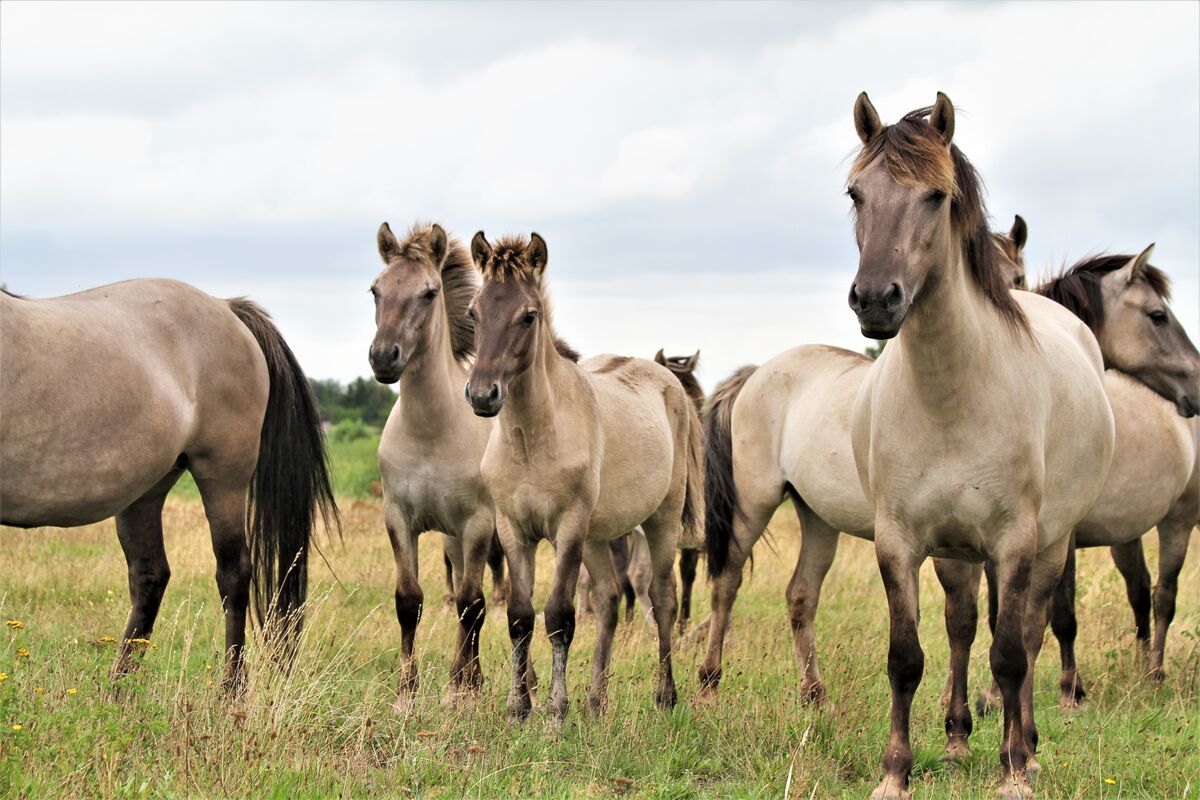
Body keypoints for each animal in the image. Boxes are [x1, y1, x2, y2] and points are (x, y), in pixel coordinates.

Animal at [0, 280, 336, 689]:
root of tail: (226, 308)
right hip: (146, 491)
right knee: (150, 577)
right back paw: (119, 690)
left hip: (223, 478)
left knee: (233, 576)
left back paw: (230, 690)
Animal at [368, 222, 501, 708]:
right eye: (376, 290)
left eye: (428, 293)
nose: (383, 357)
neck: (430, 432)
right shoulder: (399, 519)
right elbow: (410, 601)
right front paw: (406, 694)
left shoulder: (477, 523)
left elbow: (470, 605)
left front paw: (456, 691)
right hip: (452, 540)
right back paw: (473, 677)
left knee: (476, 602)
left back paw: (467, 681)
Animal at [464, 233, 704, 723]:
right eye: (474, 313)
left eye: (528, 315)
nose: (482, 395)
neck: (532, 440)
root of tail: (671, 383)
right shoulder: (513, 530)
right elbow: (520, 616)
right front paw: (519, 706)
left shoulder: (568, 528)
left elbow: (559, 617)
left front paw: (557, 709)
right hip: (598, 535)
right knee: (610, 602)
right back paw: (596, 699)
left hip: (660, 521)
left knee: (663, 598)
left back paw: (665, 696)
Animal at [845, 93, 1113, 799]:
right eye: (856, 193)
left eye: (936, 196)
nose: (876, 299)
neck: (951, 399)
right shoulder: (899, 542)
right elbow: (907, 657)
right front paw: (897, 772)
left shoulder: (1014, 542)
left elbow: (1013, 654)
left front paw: (1015, 771)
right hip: (956, 553)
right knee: (964, 626)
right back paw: (960, 739)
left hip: (1048, 545)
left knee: (1028, 632)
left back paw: (1027, 748)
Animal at [974, 248, 1199, 713]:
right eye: (1158, 315)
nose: (1199, 381)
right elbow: (998, 611)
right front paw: (992, 695)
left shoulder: (1065, 536)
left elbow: (1061, 615)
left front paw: (1070, 690)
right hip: (1127, 535)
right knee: (1141, 590)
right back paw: (1141, 670)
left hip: (1180, 521)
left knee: (1164, 596)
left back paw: (1156, 675)